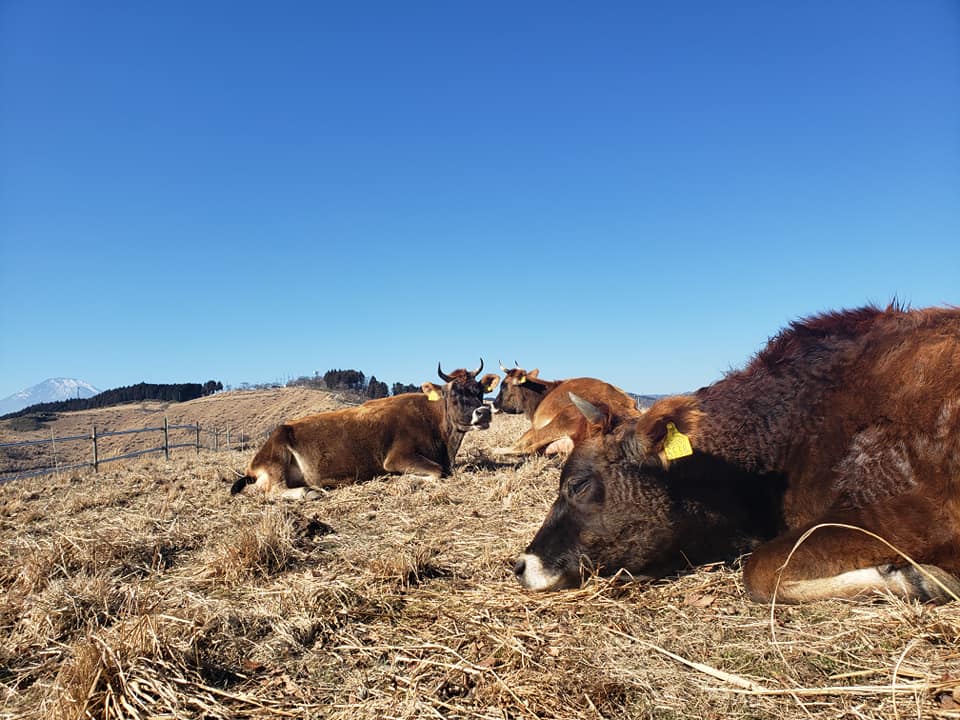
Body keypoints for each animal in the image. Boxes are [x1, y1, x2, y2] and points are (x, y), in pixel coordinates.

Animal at [233, 362, 502, 498]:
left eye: (480, 391)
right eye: (454, 394)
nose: (483, 412)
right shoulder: (397, 458)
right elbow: (437, 472)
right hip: (276, 459)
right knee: (267, 491)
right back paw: (309, 492)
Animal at [492, 366, 640, 456]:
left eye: (503, 385)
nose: (493, 403)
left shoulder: (536, 426)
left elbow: (522, 440)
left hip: (564, 418)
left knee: (525, 447)